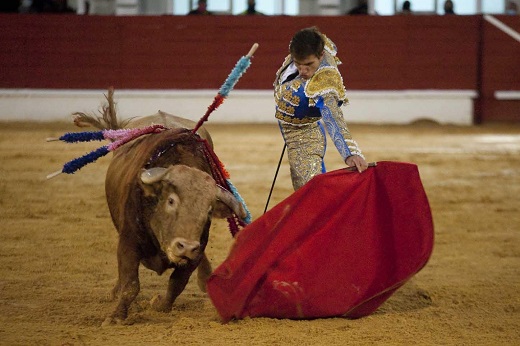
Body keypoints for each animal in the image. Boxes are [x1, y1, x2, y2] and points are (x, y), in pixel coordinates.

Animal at [73, 91, 248, 324]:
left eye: (209, 210)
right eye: (171, 201)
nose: (186, 247)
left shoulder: (196, 252)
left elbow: (177, 283)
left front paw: (160, 305)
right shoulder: (128, 242)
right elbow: (131, 284)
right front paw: (117, 317)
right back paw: (114, 292)